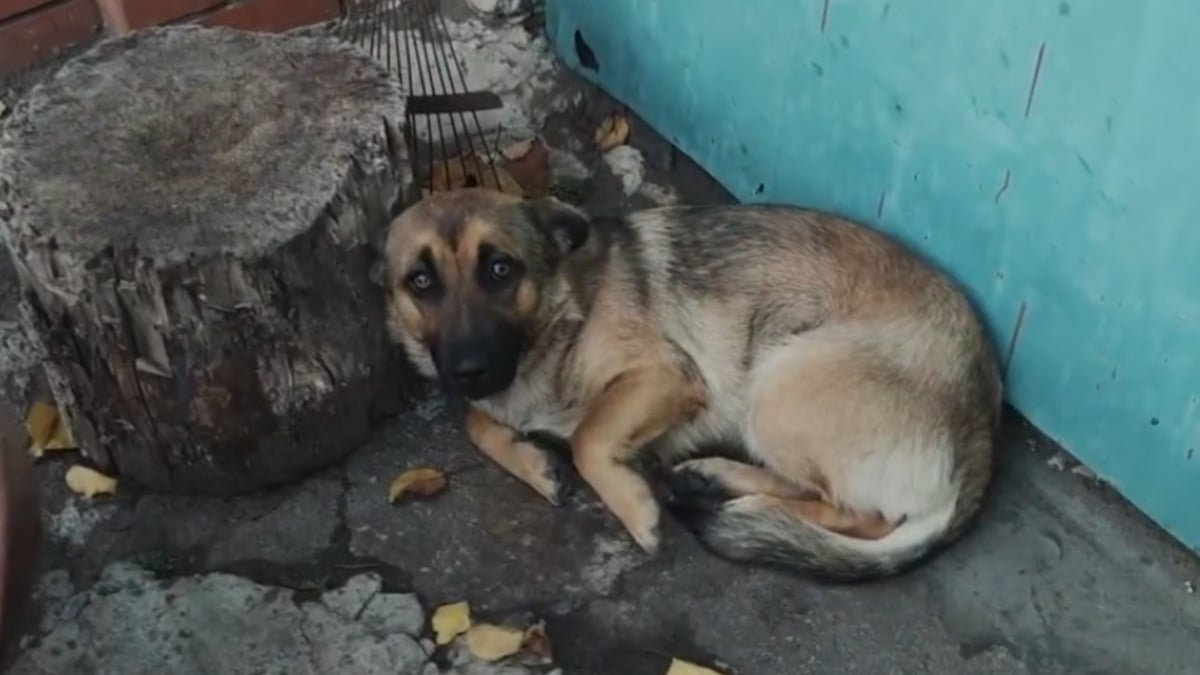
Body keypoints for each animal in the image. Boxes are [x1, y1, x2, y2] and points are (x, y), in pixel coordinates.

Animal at [384, 187, 1003, 578]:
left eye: (500, 269)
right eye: (420, 281)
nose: (468, 369)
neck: (562, 313)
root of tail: (980, 434)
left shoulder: (666, 377)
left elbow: (588, 436)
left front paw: (632, 507)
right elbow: (477, 422)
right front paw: (533, 464)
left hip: (780, 380)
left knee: (862, 514)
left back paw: (747, 507)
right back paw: (717, 478)